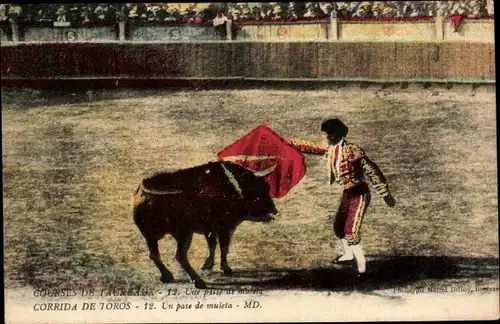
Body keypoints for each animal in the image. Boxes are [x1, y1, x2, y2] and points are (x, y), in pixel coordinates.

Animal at [133, 161, 278, 288]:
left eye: (267, 187)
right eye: (259, 188)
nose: (274, 210)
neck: (234, 186)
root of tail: (145, 190)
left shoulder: (210, 230)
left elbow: (212, 245)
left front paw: (208, 264)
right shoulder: (225, 228)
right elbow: (224, 247)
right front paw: (226, 268)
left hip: (150, 236)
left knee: (155, 255)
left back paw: (167, 277)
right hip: (184, 234)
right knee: (180, 256)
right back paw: (198, 282)